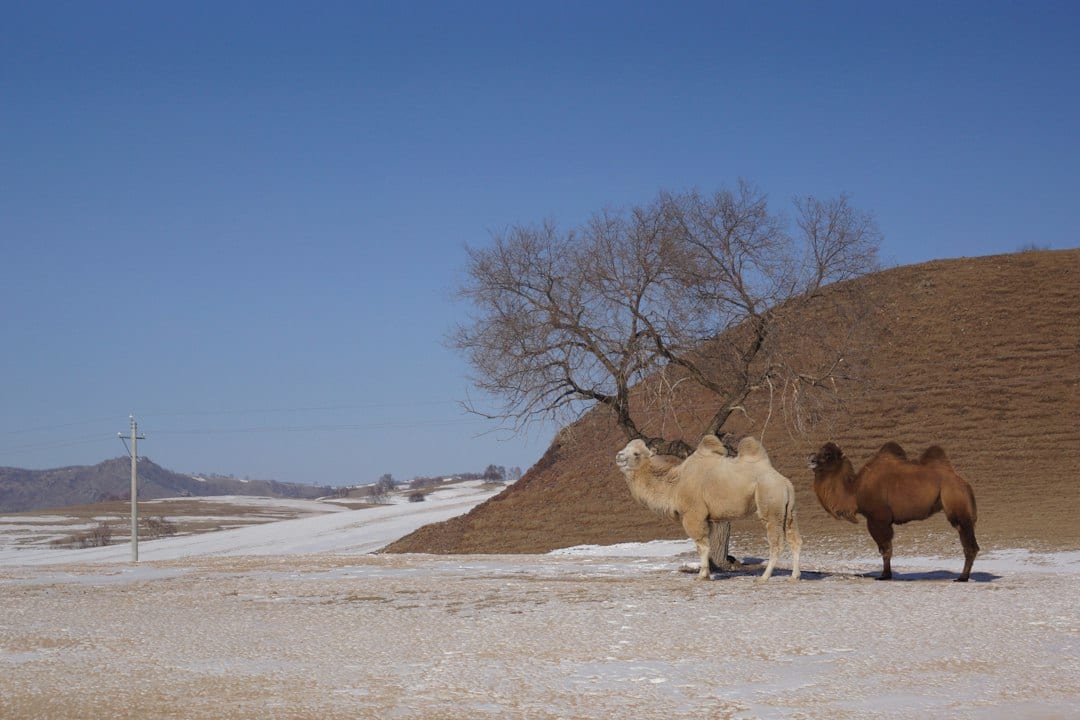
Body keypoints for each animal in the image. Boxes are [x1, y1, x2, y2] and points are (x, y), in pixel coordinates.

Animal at [614, 435, 802, 581]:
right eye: (625, 447)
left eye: (636, 453)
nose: (618, 456)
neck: (674, 486)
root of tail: (784, 482)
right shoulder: (708, 518)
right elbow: (707, 544)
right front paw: (707, 573)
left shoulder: (693, 514)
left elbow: (701, 545)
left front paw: (702, 575)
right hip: (789, 510)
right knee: (795, 540)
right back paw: (794, 576)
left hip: (770, 502)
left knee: (776, 542)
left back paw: (764, 576)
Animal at [808, 441, 979, 581]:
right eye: (819, 450)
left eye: (828, 454)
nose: (811, 460)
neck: (855, 491)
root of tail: (963, 483)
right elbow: (886, 548)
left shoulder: (878, 519)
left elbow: (885, 549)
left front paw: (884, 575)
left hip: (956, 502)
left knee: (969, 543)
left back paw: (962, 578)